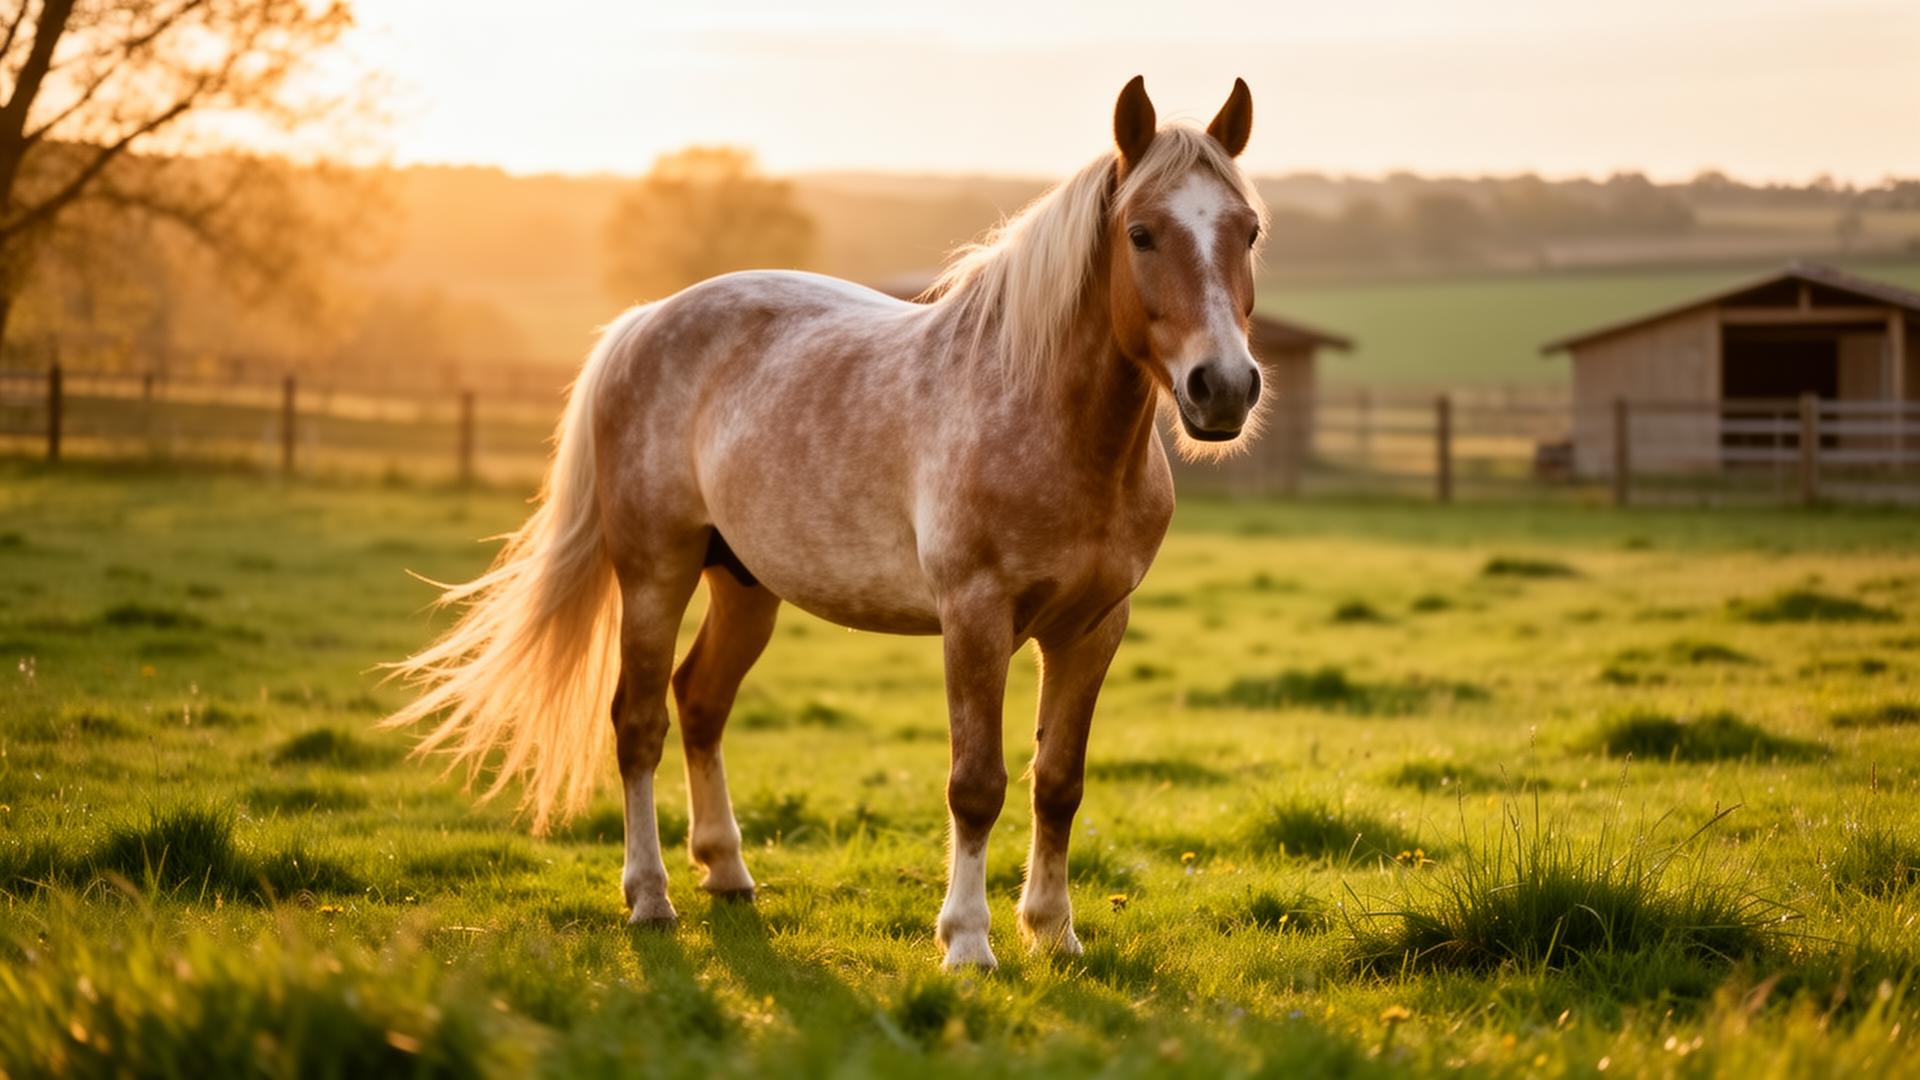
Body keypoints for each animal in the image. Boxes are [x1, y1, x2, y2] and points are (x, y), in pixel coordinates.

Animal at [386, 75, 1269, 969]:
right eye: (1141, 233)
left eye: (1249, 231)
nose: (1224, 387)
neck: (1048, 418)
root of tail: (646, 321)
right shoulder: (976, 618)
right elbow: (976, 784)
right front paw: (967, 941)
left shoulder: (1093, 627)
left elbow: (1058, 782)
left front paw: (1055, 933)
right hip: (656, 574)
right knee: (638, 724)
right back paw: (651, 897)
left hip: (745, 586)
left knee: (699, 702)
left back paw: (728, 872)